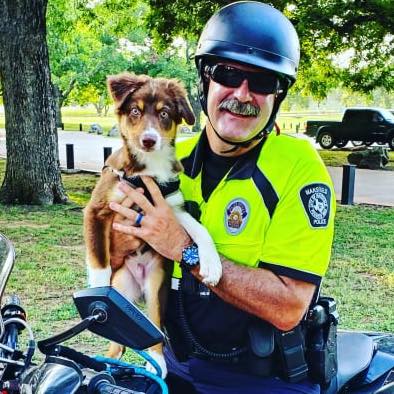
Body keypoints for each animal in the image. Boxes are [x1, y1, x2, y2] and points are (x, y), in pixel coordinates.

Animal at [84, 72, 222, 378]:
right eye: (135, 111)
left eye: (164, 114)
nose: (148, 140)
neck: (147, 170)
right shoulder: (97, 210)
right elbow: (98, 256)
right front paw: (97, 287)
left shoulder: (171, 207)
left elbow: (200, 230)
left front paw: (212, 265)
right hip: (122, 288)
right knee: (118, 340)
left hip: (157, 286)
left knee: (155, 330)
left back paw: (156, 363)